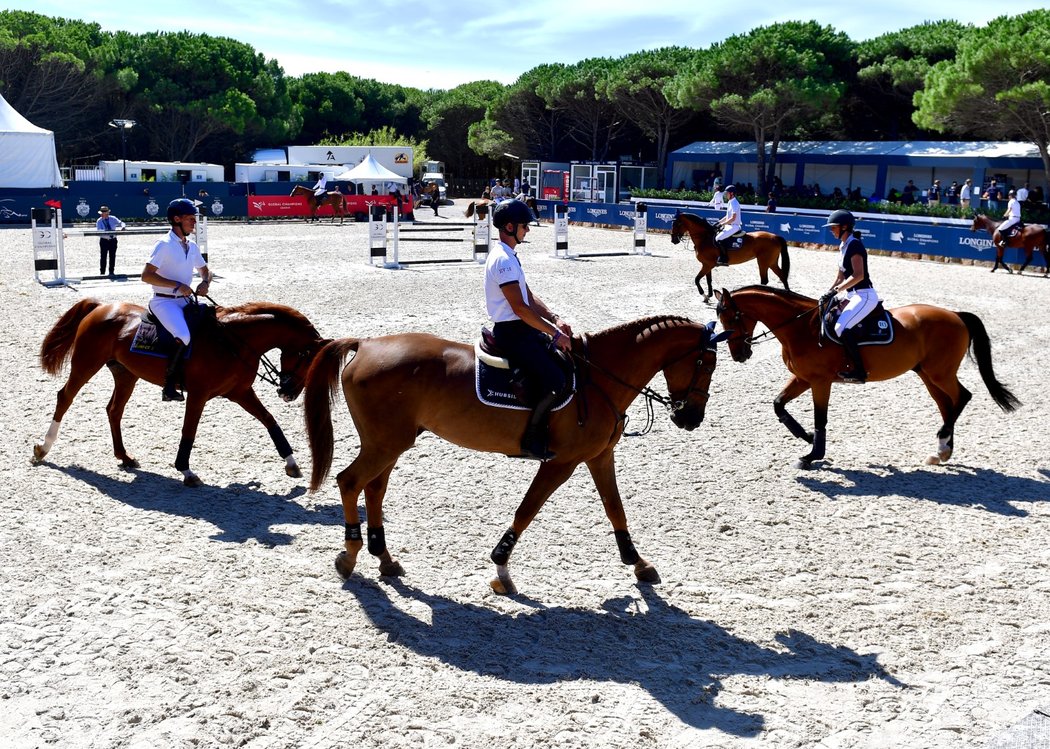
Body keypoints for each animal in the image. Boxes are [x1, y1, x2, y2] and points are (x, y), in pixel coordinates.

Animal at [33, 300, 327, 487]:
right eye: (306, 357)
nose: (288, 392)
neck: (233, 341)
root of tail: (101, 307)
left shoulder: (239, 392)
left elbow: (269, 420)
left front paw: (291, 462)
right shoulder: (198, 394)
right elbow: (189, 431)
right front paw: (186, 471)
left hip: (126, 374)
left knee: (114, 410)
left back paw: (124, 457)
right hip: (86, 365)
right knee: (65, 398)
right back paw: (42, 449)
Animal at [304, 315, 730, 596]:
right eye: (706, 364)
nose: (691, 418)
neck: (598, 378)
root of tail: (366, 344)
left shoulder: (599, 457)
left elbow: (615, 509)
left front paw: (638, 562)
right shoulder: (561, 463)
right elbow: (527, 510)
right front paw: (502, 570)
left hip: (390, 443)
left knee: (374, 489)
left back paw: (385, 558)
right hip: (384, 444)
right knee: (350, 481)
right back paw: (350, 555)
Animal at [713, 285, 1016, 466]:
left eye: (732, 318)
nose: (739, 355)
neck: (802, 328)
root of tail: (955, 315)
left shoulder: (820, 381)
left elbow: (820, 418)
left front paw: (812, 455)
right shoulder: (802, 378)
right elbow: (778, 404)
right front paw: (807, 437)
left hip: (939, 373)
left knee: (962, 397)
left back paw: (942, 444)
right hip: (928, 375)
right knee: (947, 405)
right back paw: (942, 450)